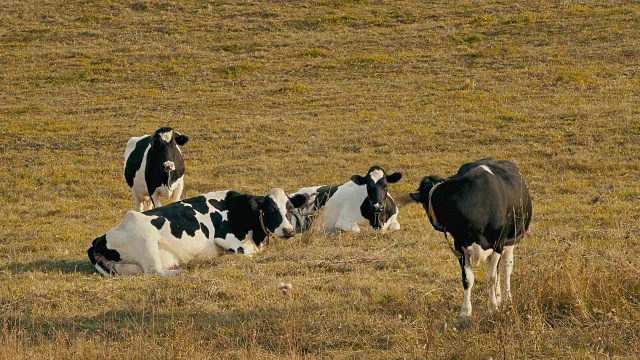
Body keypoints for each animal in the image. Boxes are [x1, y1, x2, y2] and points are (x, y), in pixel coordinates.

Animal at [89, 187, 308, 278]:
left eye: (289, 208)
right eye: (271, 209)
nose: (288, 230)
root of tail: (97, 240)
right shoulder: (227, 239)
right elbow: (250, 252)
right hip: (146, 240)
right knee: (155, 271)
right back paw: (182, 270)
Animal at [410, 159, 536, 316]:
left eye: (424, 203)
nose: (435, 225)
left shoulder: (498, 244)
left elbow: (491, 278)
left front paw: (493, 307)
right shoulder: (460, 246)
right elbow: (468, 279)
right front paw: (465, 311)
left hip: (510, 242)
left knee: (506, 269)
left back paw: (507, 299)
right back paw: (499, 297)